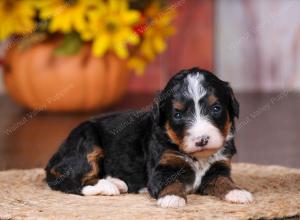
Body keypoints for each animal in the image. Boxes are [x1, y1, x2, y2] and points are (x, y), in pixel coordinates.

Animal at [46, 67, 253, 208]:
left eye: (215, 108)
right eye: (178, 114)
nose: (202, 140)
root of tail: (54, 158)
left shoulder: (219, 166)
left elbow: (223, 180)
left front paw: (238, 192)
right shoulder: (162, 166)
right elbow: (170, 182)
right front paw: (172, 198)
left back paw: (117, 182)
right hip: (87, 140)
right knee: (72, 181)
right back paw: (108, 186)